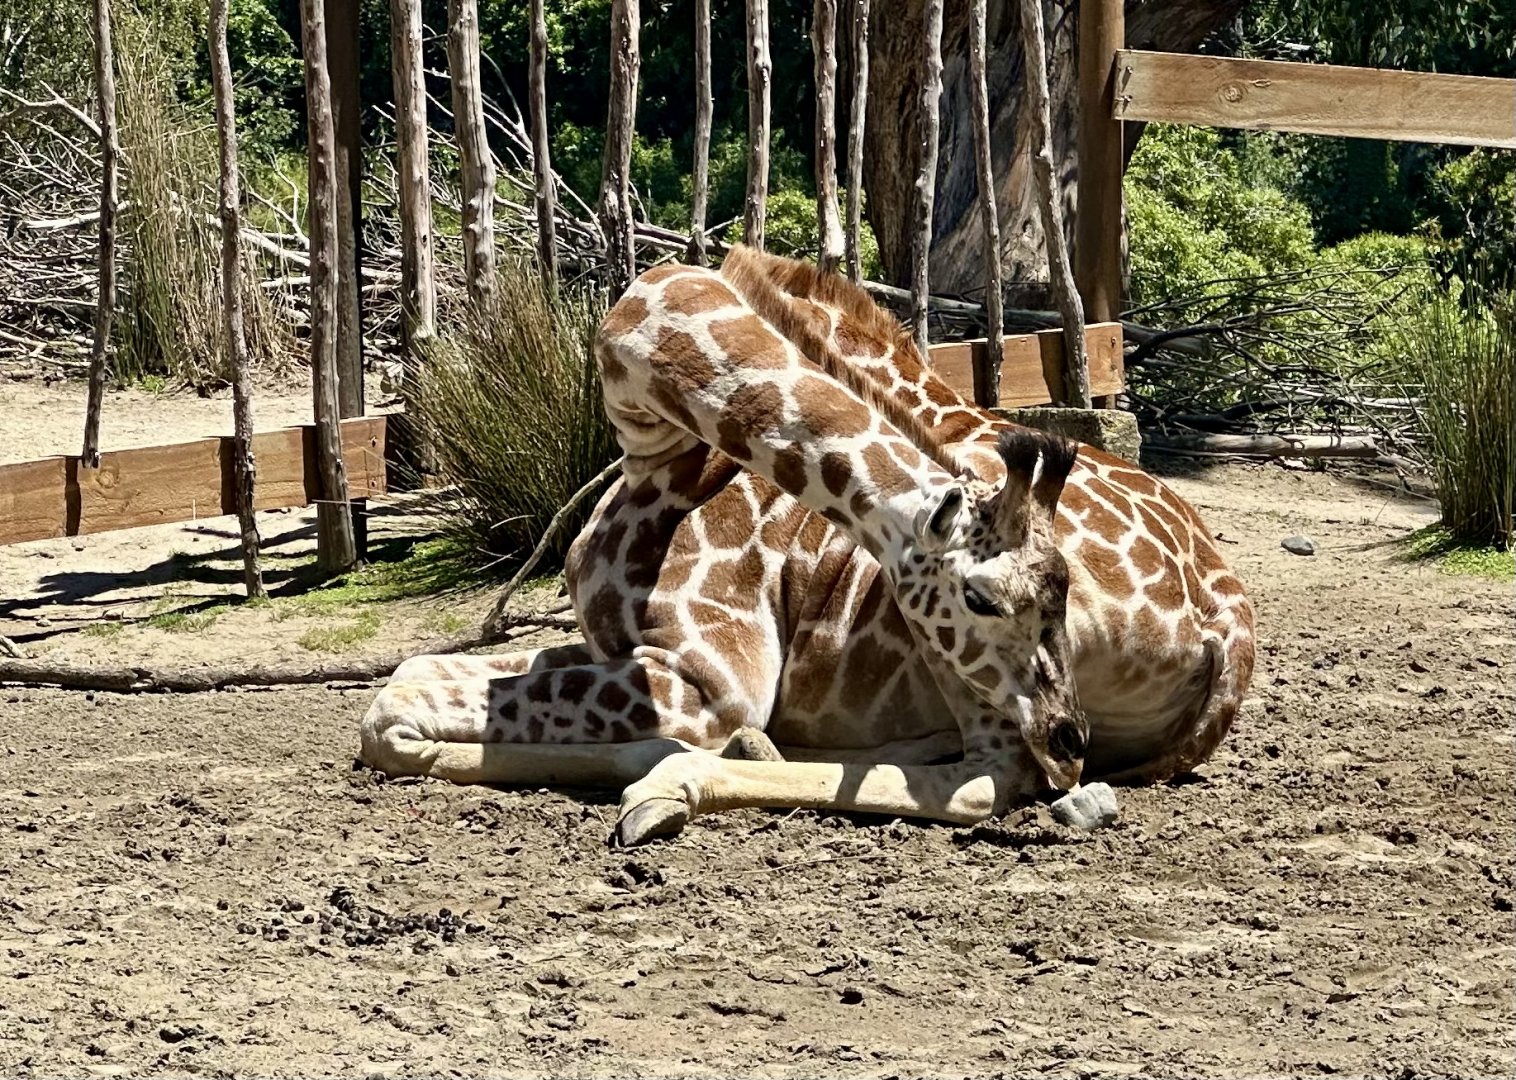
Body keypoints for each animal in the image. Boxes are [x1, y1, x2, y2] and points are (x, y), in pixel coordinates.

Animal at [360, 246, 1255, 846]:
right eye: (983, 596)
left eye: (1057, 596)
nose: (1072, 735)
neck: (654, 438)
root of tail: (1229, 633)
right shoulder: (612, 646)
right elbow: (409, 676)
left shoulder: (707, 679)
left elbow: (387, 710)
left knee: (988, 780)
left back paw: (674, 783)